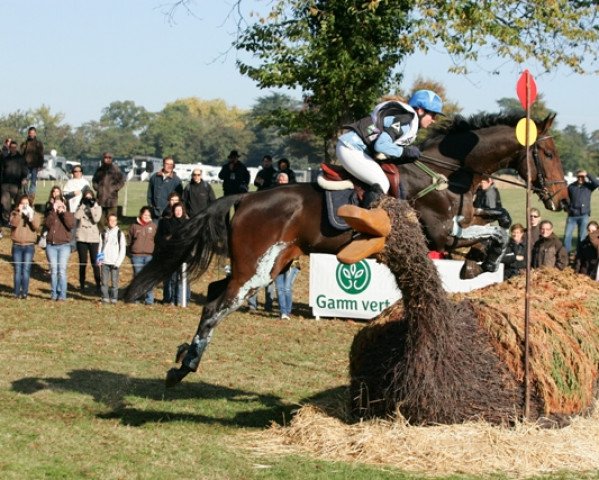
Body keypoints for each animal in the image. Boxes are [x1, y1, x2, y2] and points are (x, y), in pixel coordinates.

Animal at [124, 112, 568, 386]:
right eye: (547, 152)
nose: (561, 199)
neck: (445, 172)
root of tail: (244, 198)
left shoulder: (462, 222)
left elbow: (501, 222)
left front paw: (479, 263)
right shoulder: (444, 234)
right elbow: (494, 231)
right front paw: (480, 262)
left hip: (271, 265)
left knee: (218, 294)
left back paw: (184, 356)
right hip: (255, 268)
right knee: (216, 306)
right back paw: (184, 368)